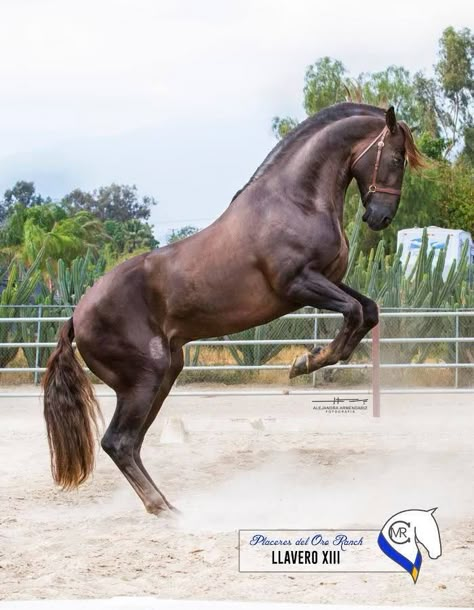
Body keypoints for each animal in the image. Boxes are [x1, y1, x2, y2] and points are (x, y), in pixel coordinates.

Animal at [42, 102, 424, 510]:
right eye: (396, 158)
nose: (380, 217)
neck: (297, 202)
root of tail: (77, 316)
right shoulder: (299, 283)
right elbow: (353, 311)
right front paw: (305, 363)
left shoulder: (329, 280)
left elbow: (369, 310)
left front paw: (314, 359)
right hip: (144, 379)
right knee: (118, 442)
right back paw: (164, 509)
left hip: (164, 374)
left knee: (132, 443)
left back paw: (167, 505)